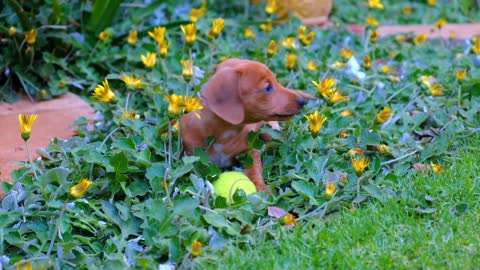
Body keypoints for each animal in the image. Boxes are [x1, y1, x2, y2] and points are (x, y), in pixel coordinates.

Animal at [181, 58, 316, 190]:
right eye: (268, 88)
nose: (302, 101)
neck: (225, 133)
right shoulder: (192, 154)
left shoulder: (250, 152)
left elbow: (254, 168)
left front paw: (259, 186)